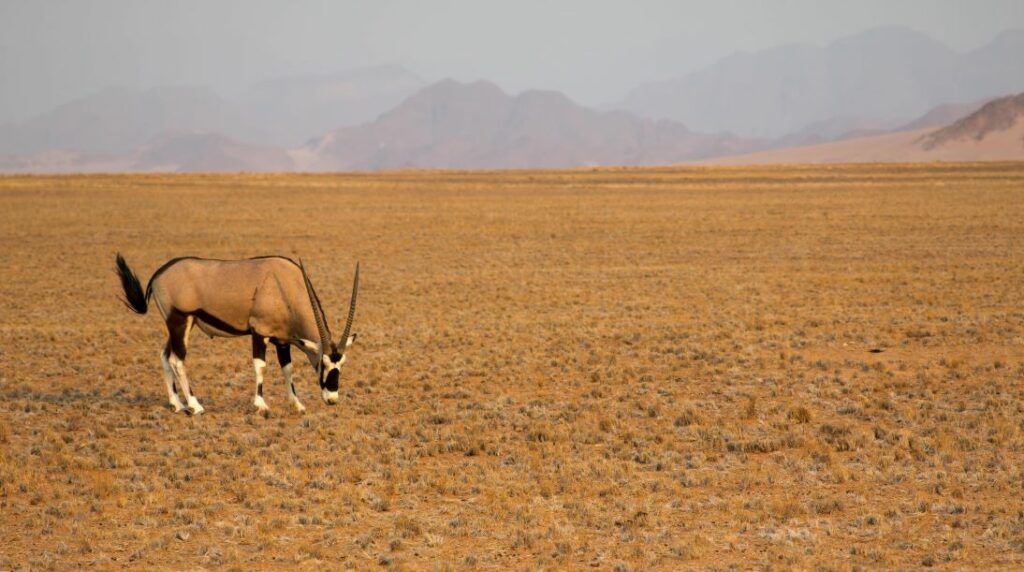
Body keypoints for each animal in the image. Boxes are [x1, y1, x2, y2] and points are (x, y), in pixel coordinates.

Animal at [115, 254, 359, 415]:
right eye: (322, 364)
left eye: (341, 364)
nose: (332, 399)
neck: (285, 286)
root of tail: (159, 273)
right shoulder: (259, 333)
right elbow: (260, 366)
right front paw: (261, 405)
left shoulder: (282, 340)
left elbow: (288, 369)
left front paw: (296, 404)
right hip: (180, 321)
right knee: (177, 360)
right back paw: (195, 405)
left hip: (181, 326)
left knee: (165, 356)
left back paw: (177, 404)